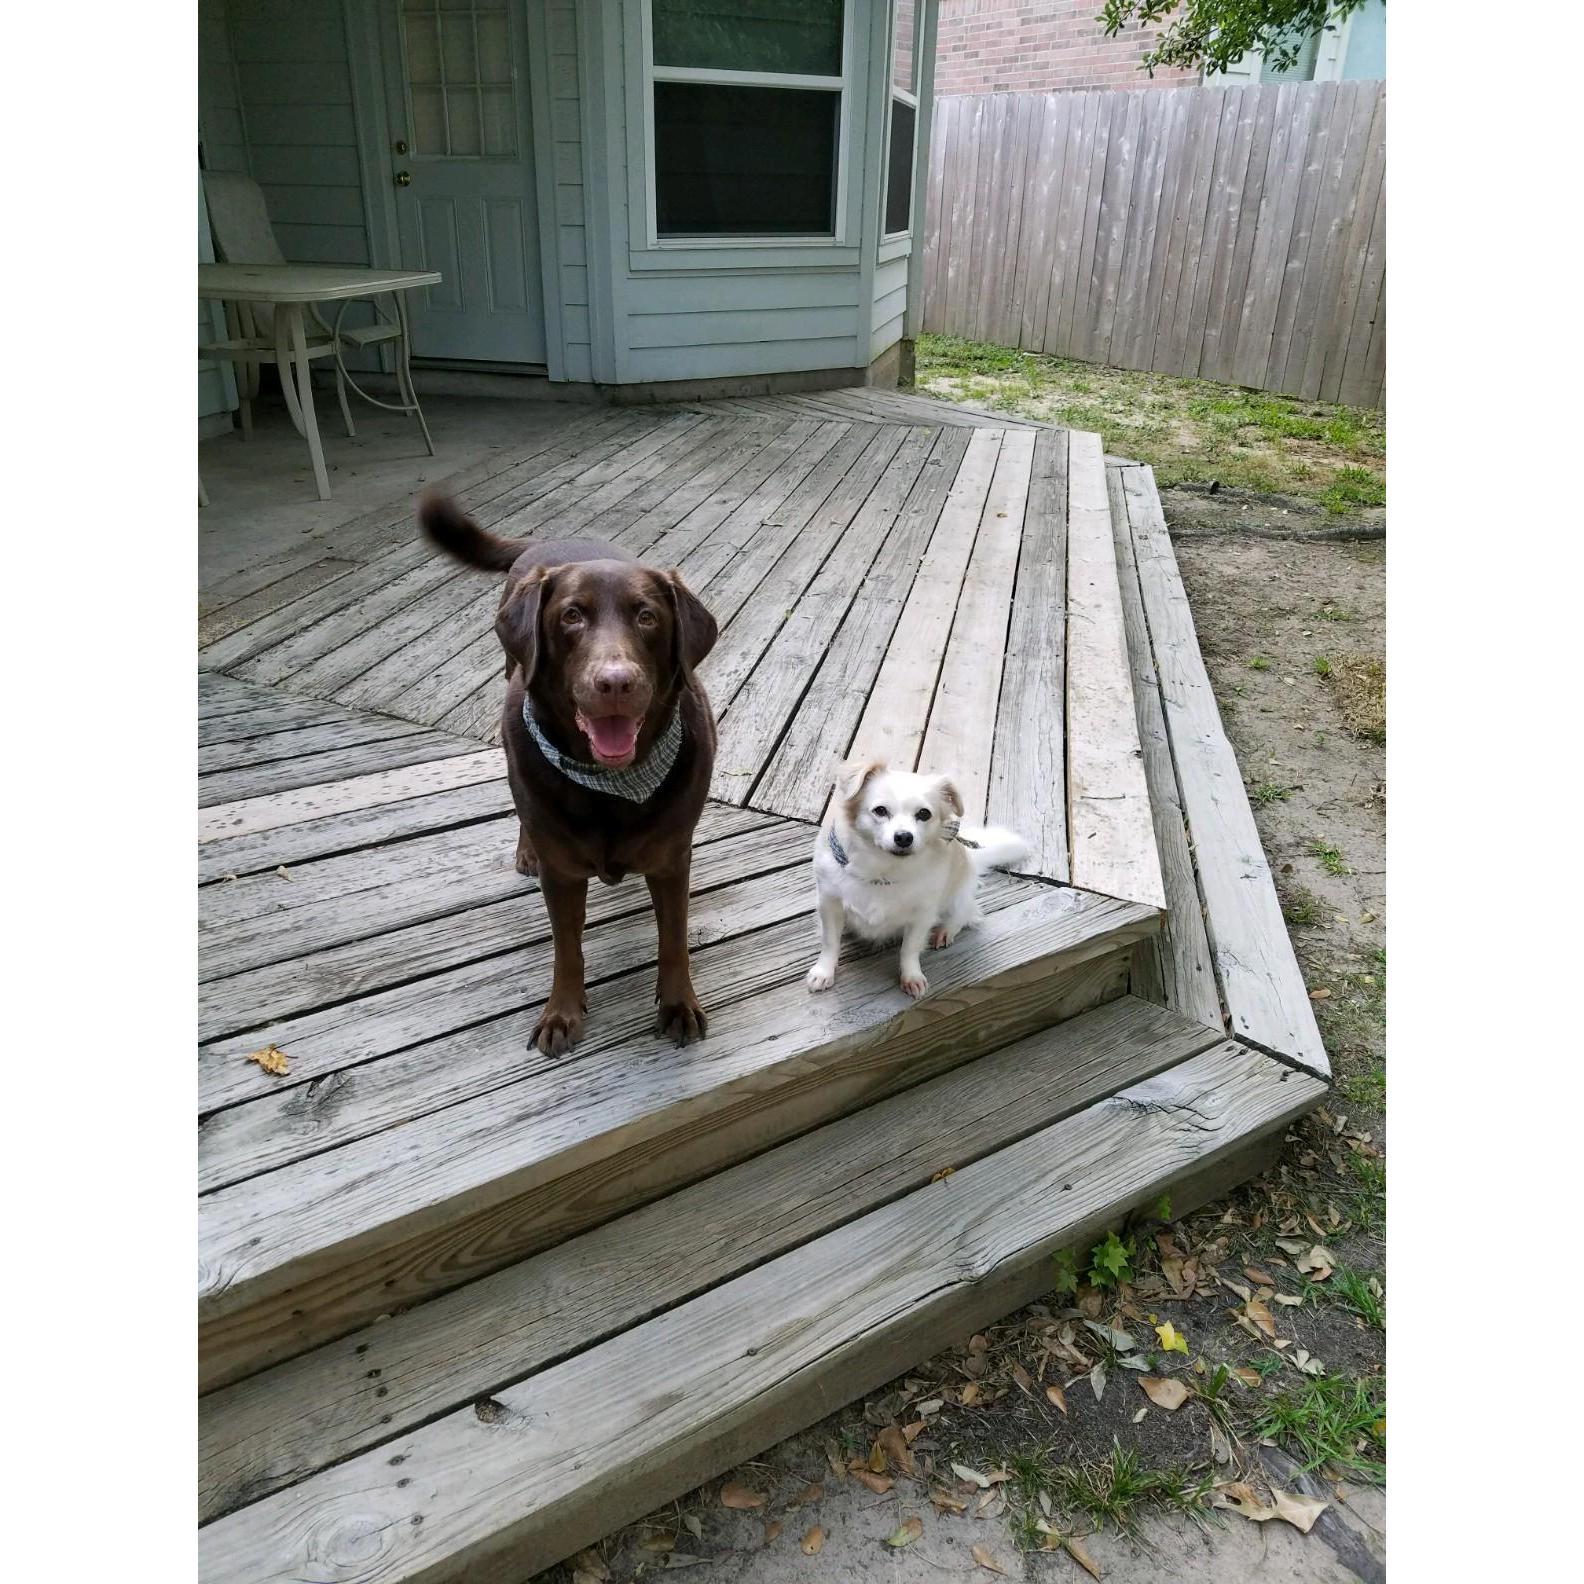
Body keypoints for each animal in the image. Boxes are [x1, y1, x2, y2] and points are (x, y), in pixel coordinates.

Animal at [804, 760, 1026, 994]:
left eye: (924, 814)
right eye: (880, 810)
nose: (904, 837)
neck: (883, 871)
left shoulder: (922, 916)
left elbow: (910, 949)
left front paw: (911, 977)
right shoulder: (829, 904)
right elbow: (830, 942)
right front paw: (823, 972)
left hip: (958, 898)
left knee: (964, 915)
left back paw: (945, 931)